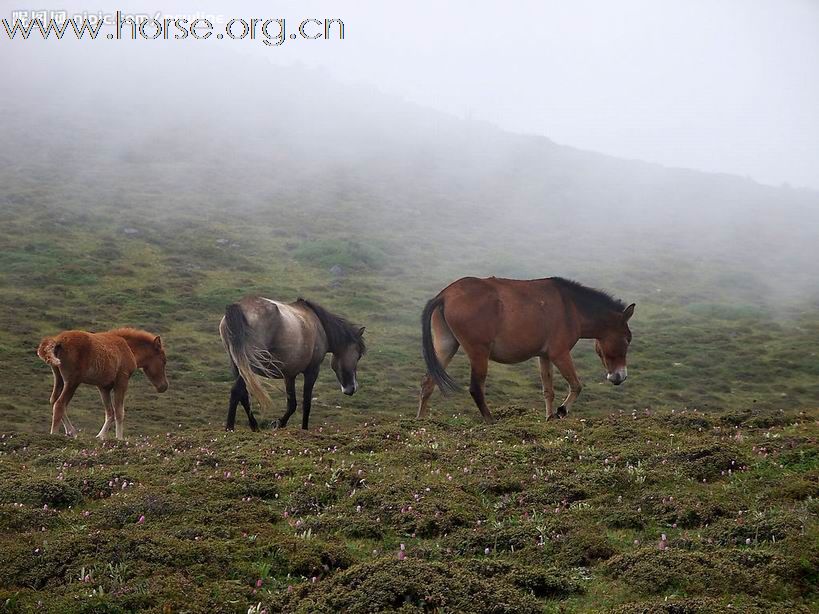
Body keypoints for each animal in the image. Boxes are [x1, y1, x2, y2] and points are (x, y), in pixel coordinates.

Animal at [36, 330, 168, 440]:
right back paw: (54, 434)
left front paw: (101, 436)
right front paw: (119, 438)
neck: (128, 347)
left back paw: (71, 431)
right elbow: (119, 412)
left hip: (59, 378)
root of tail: (58, 340)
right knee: (59, 404)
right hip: (72, 382)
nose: (164, 386)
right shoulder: (122, 381)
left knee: (54, 400)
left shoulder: (104, 387)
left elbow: (110, 412)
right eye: (163, 360)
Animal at [221, 298, 368, 434]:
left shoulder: (289, 375)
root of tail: (238, 307)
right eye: (358, 355)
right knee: (237, 391)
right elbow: (306, 403)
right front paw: (302, 428)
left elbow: (292, 404)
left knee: (243, 395)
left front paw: (279, 424)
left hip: (239, 365)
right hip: (250, 365)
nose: (352, 388)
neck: (319, 326)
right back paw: (230, 428)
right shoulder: (312, 371)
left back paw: (254, 427)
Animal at [420, 278, 636, 424]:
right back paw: (490, 420)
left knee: (428, 383)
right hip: (478, 353)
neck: (571, 307)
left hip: (447, 345)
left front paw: (549, 417)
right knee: (475, 388)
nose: (620, 377)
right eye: (628, 339)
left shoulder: (544, 356)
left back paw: (420, 420)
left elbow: (548, 390)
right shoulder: (559, 354)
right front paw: (561, 411)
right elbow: (576, 385)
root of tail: (445, 295)